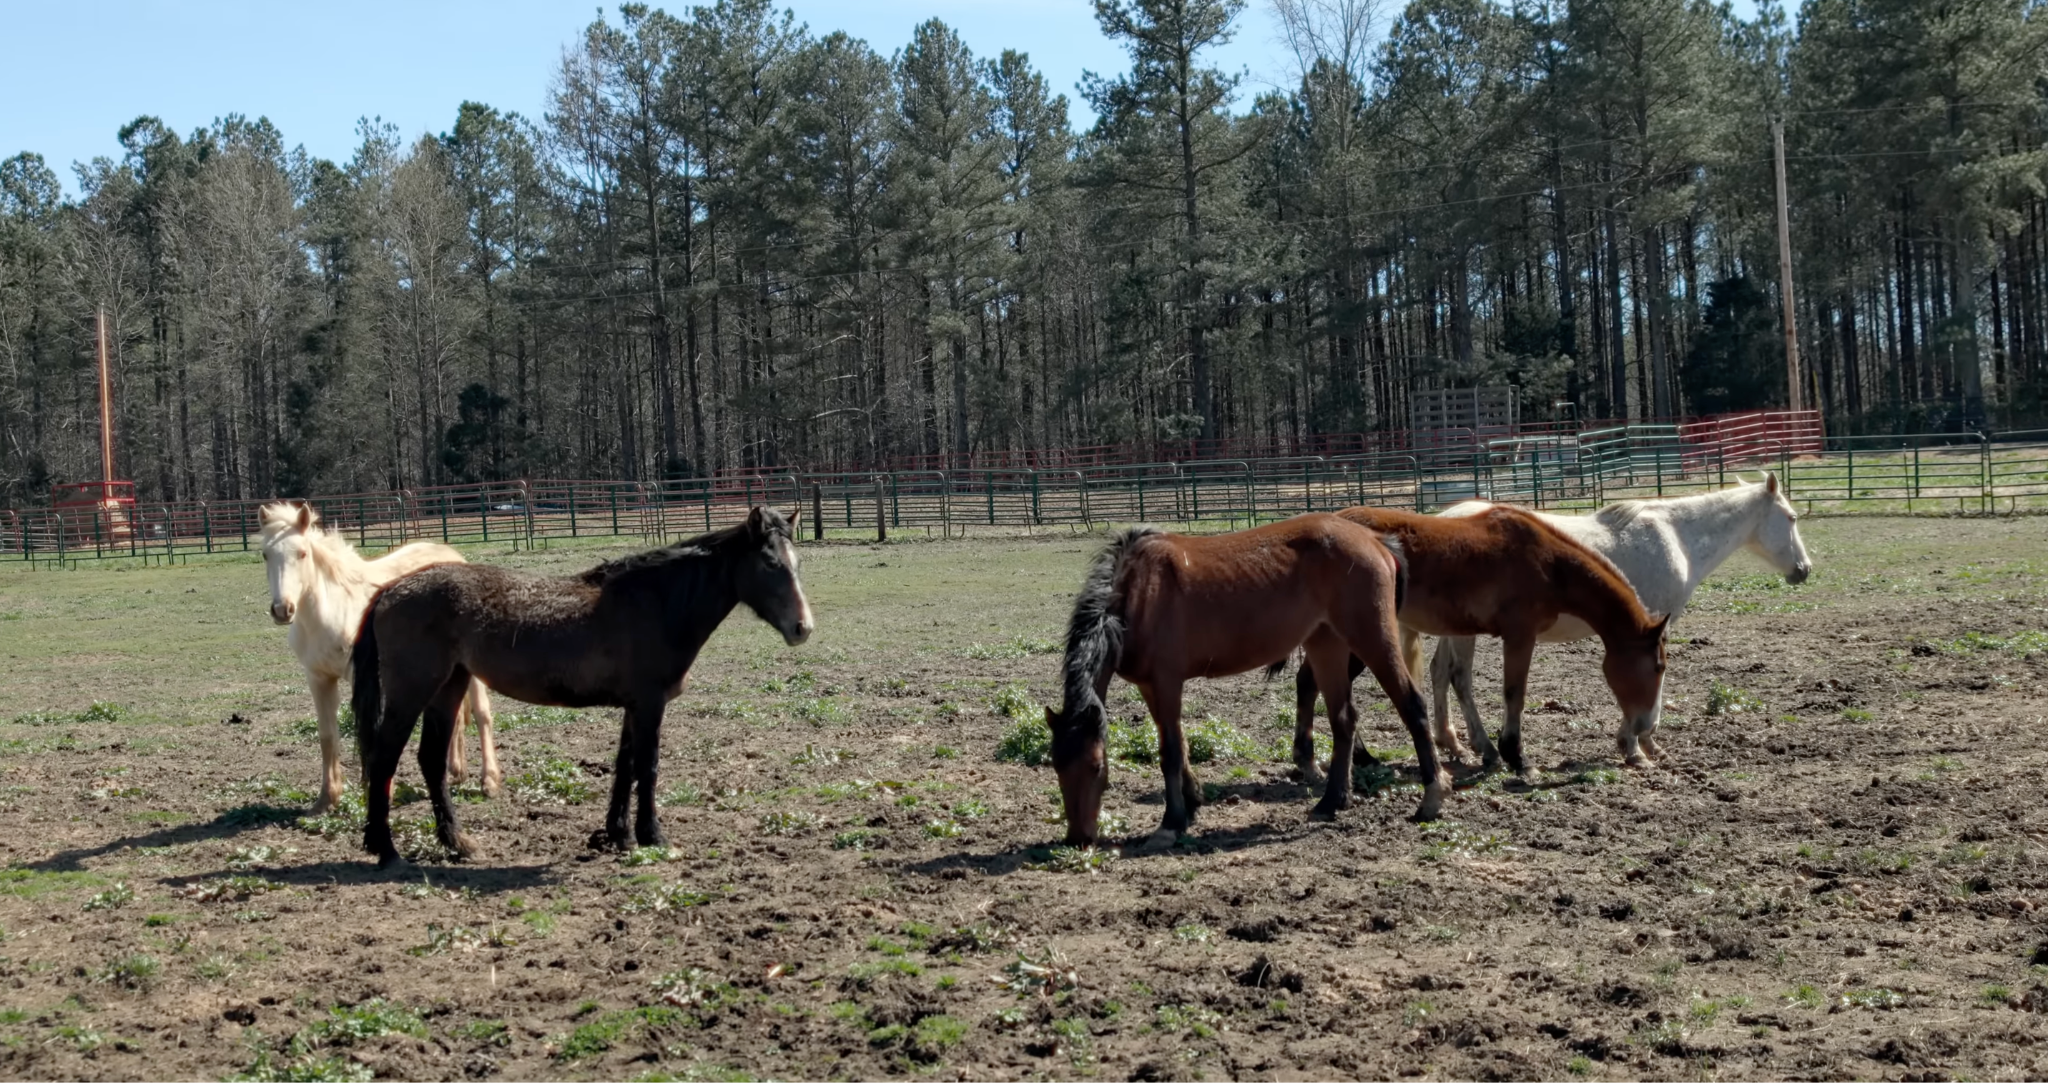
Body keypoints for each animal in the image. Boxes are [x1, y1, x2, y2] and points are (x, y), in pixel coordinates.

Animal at [260, 503, 498, 813]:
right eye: (265, 554)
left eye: (302, 553)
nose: (282, 610)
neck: (334, 610)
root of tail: (454, 557)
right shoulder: (319, 678)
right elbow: (327, 736)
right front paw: (326, 799)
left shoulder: (366, 679)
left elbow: (373, 732)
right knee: (453, 716)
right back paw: (455, 772)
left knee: (482, 713)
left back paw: (489, 781)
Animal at [349, 506, 813, 868]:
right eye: (770, 563)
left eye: (797, 562)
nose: (802, 628)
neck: (656, 604)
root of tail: (391, 589)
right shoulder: (650, 704)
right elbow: (648, 767)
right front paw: (654, 836)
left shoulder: (634, 706)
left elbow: (625, 766)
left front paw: (619, 835)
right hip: (412, 692)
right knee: (384, 759)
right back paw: (386, 850)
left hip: (449, 688)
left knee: (430, 761)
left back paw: (457, 844)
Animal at [1045, 513, 1447, 850]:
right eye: (1056, 764)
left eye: (1097, 766)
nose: (1077, 838)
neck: (1139, 593)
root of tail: (1376, 540)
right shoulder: (1149, 685)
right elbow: (1177, 745)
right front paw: (1192, 803)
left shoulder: (1167, 681)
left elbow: (1171, 751)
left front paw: (1171, 822)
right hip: (1326, 643)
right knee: (1343, 718)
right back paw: (1332, 801)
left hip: (1371, 638)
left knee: (1411, 705)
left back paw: (1431, 797)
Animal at [1283, 505, 1668, 783]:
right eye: (1658, 666)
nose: (1646, 726)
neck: (1546, 562)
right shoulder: (1519, 637)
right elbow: (1514, 694)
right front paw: (1517, 757)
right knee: (1317, 685)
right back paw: (1320, 761)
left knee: (1314, 684)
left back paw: (1343, 759)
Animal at [1426, 473, 1812, 767]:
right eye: (1792, 517)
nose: (1804, 570)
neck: (1677, 537)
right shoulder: (1650, 629)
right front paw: (1638, 745)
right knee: (1460, 678)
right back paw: (1486, 748)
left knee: (1439, 672)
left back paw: (1451, 743)